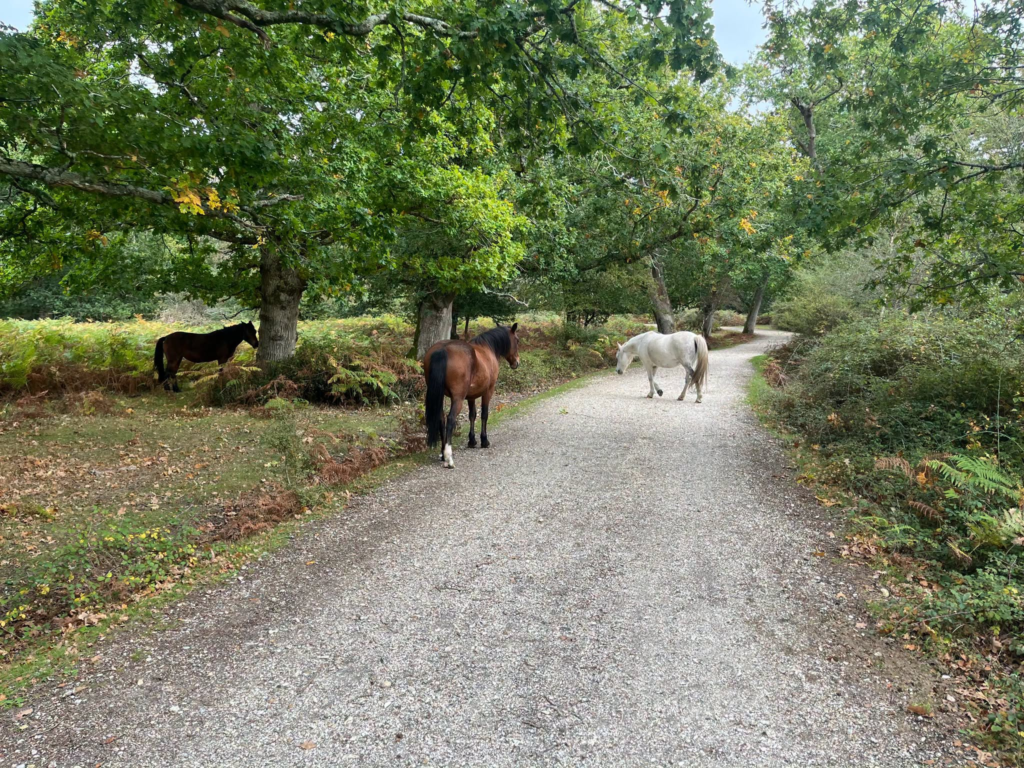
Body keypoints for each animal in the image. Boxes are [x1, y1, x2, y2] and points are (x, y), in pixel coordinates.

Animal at [423, 323, 520, 468]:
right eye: (517, 340)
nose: (517, 362)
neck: (487, 348)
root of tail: (442, 349)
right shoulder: (488, 391)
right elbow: (484, 414)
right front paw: (484, 441)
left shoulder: (471, 396)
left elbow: (472, 415)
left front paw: (472, 440)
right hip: (458, 398)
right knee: (450, 419)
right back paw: (449, 457)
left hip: (440, 397)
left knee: (441, 419)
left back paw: (443, 453)